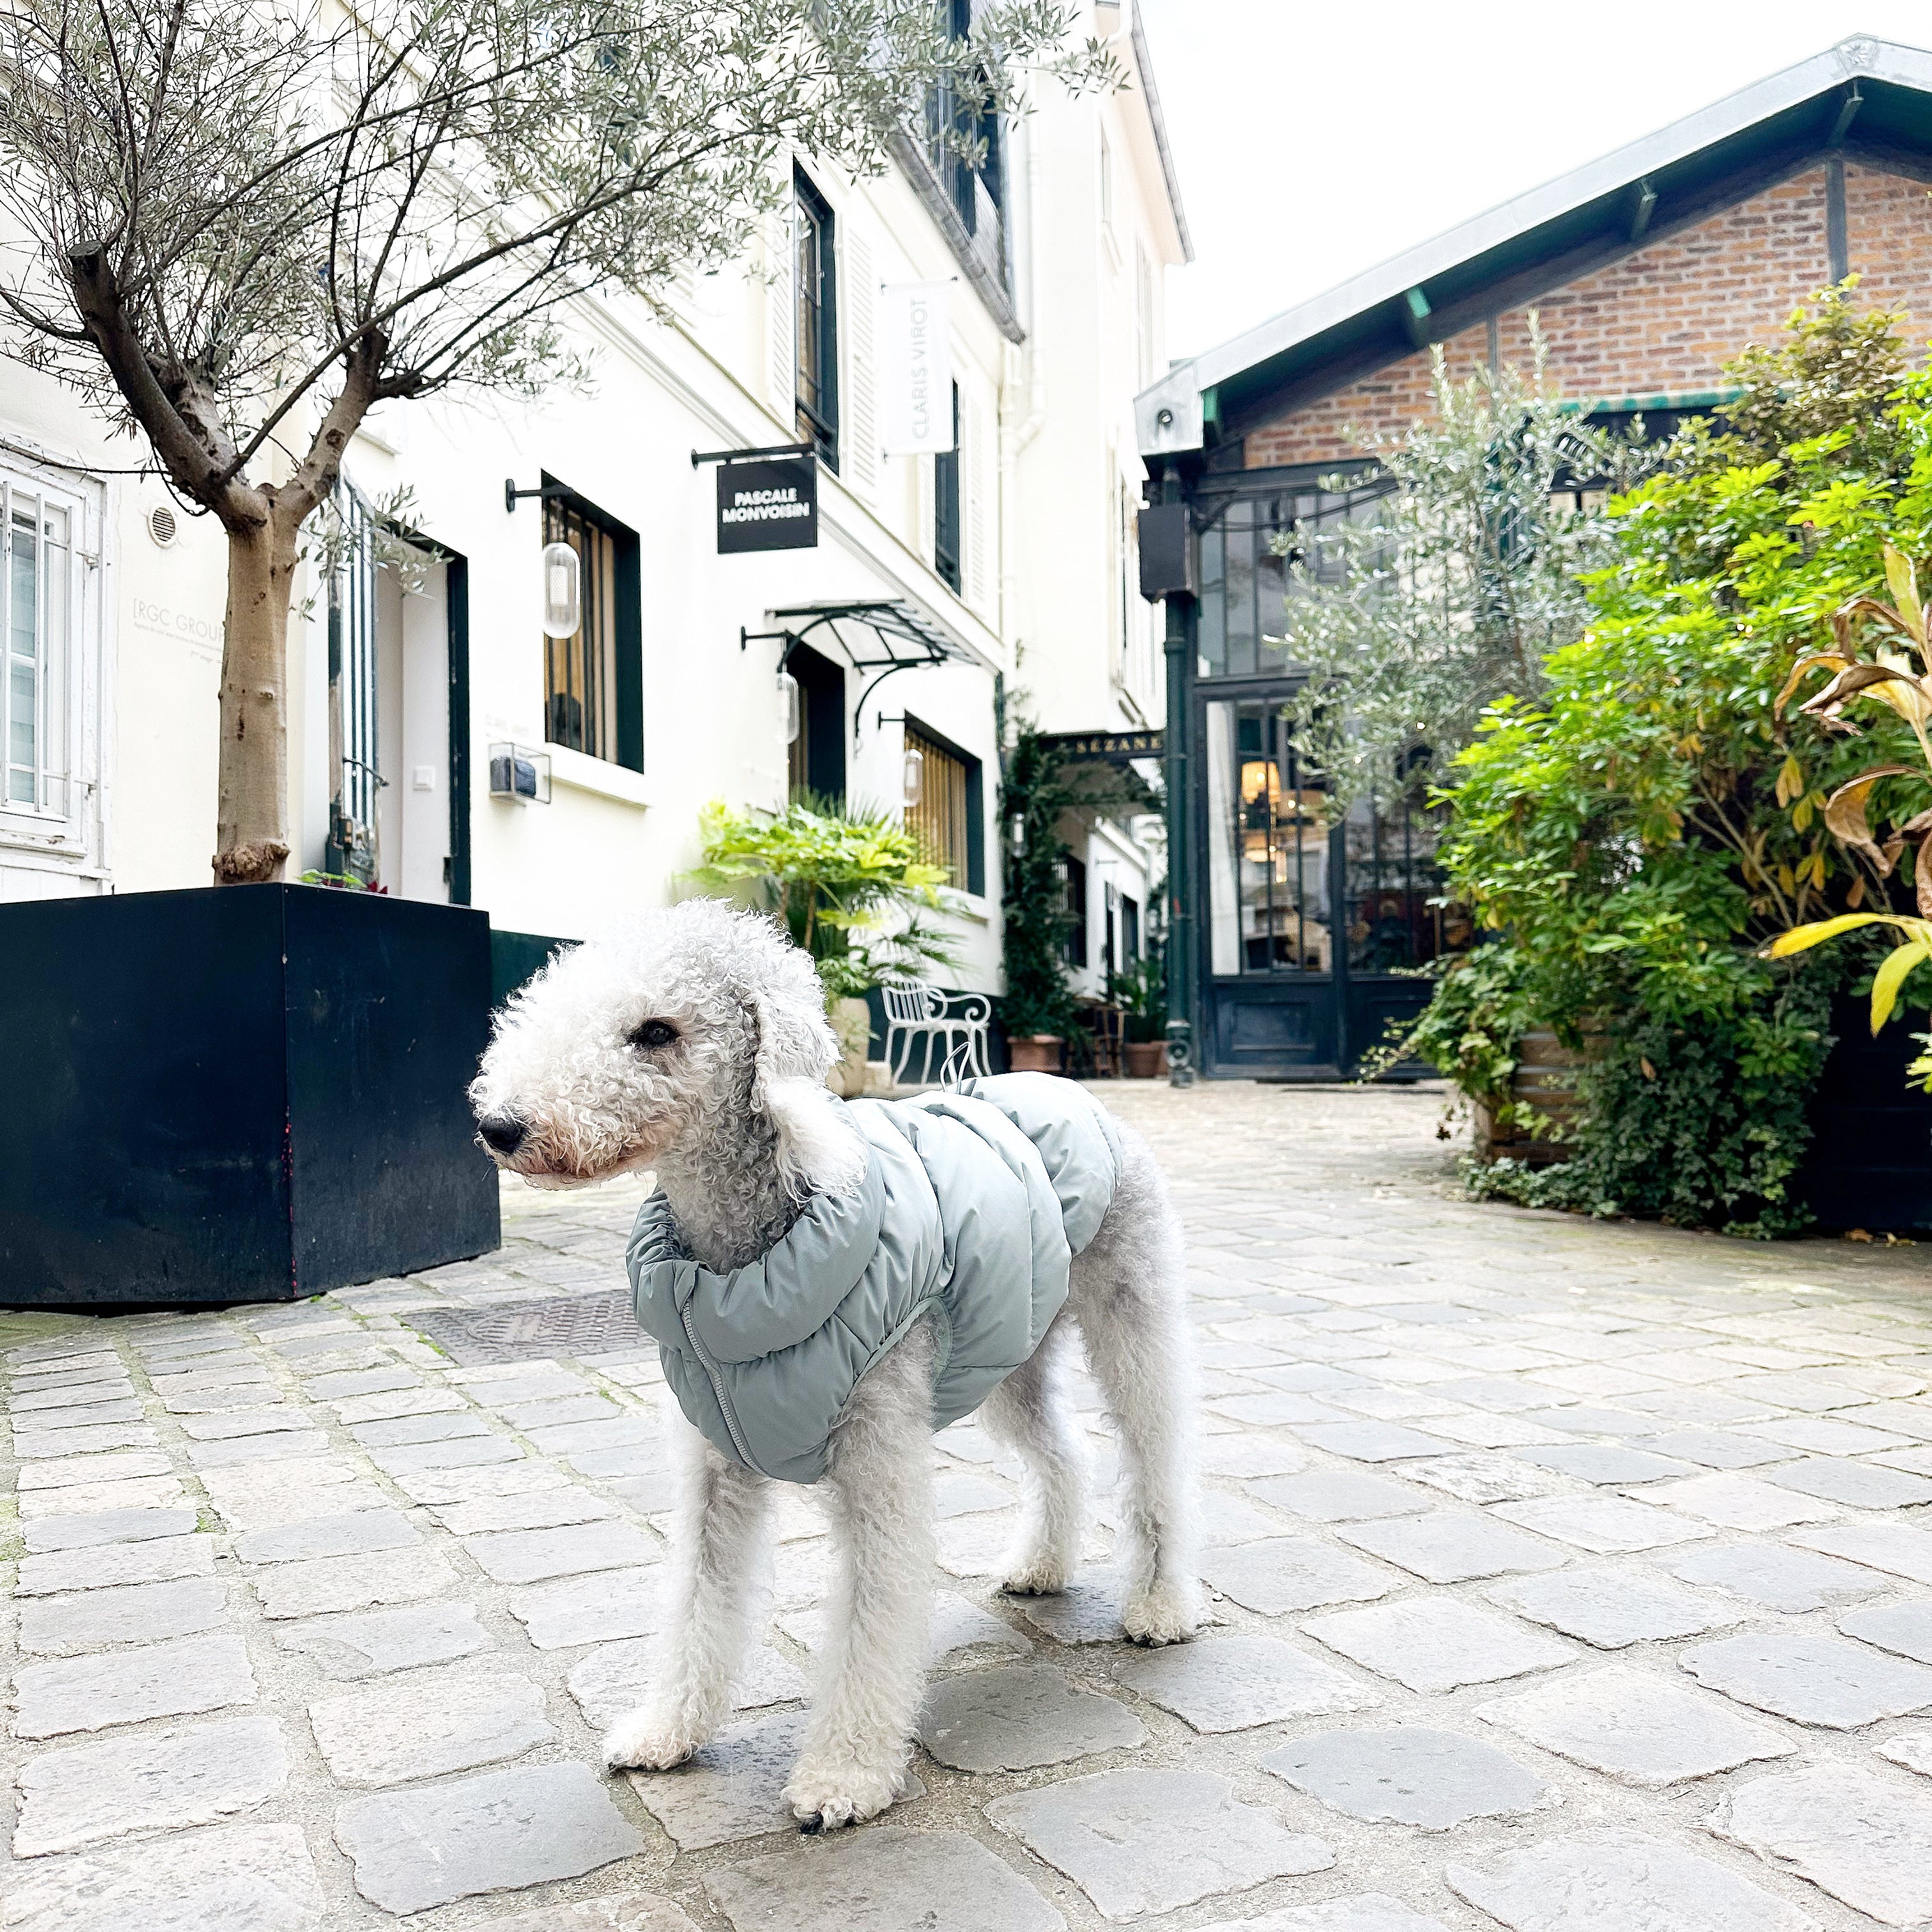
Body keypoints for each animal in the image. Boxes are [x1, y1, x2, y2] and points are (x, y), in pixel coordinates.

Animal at [471, 896, 1190, 1831]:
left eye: (658, 1031)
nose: (501, 1128)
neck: (738, 1280)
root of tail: (1067, 1086)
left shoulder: (879, 1459)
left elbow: (870, 1623)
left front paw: (843, 1778)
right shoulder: (714, 1469)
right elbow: (697, 1600)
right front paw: (667, 1732)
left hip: (1132, 1318)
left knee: (1156, 1461)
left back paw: (1162, 1606)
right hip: (1011, 1348)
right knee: (1060, 1454)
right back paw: (1041, 1567)